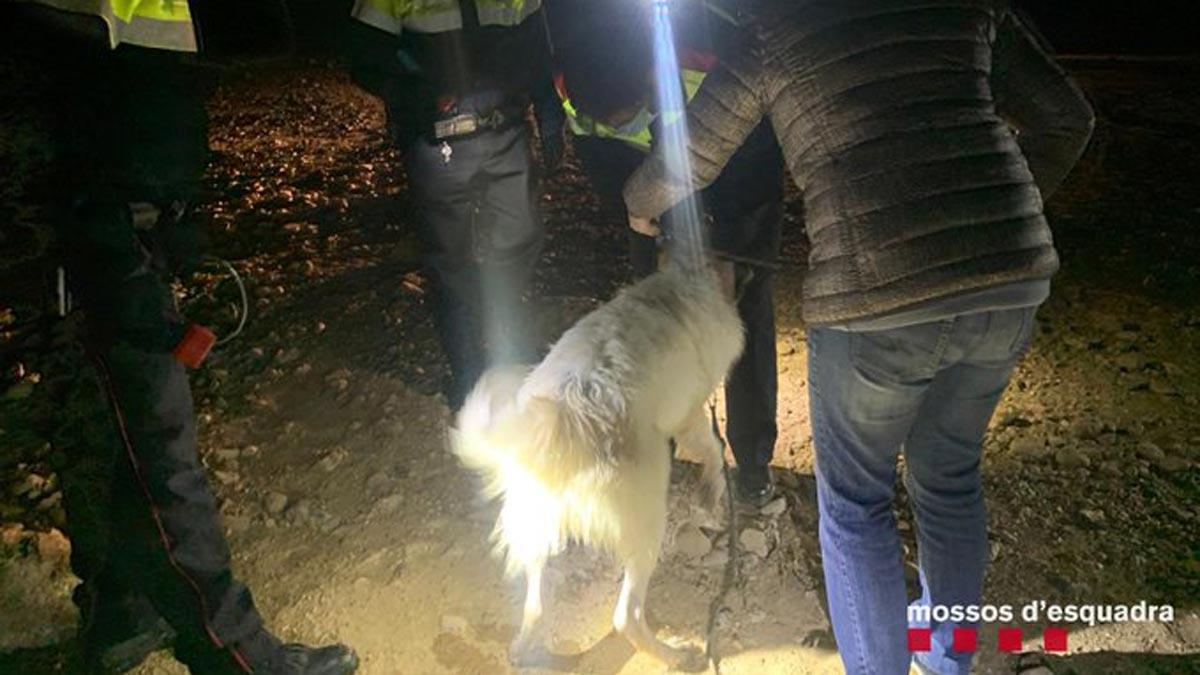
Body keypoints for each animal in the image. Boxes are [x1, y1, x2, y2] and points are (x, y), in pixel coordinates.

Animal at [451, 260, 744, 662]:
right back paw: (675, 655)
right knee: (626, 616)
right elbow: (713, 447)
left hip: (535, 528)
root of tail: (566, 414)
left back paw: (523, 648)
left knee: (535, 604)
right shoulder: (687, 415)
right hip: (647, 523)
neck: (681, 289)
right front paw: (713, 488)